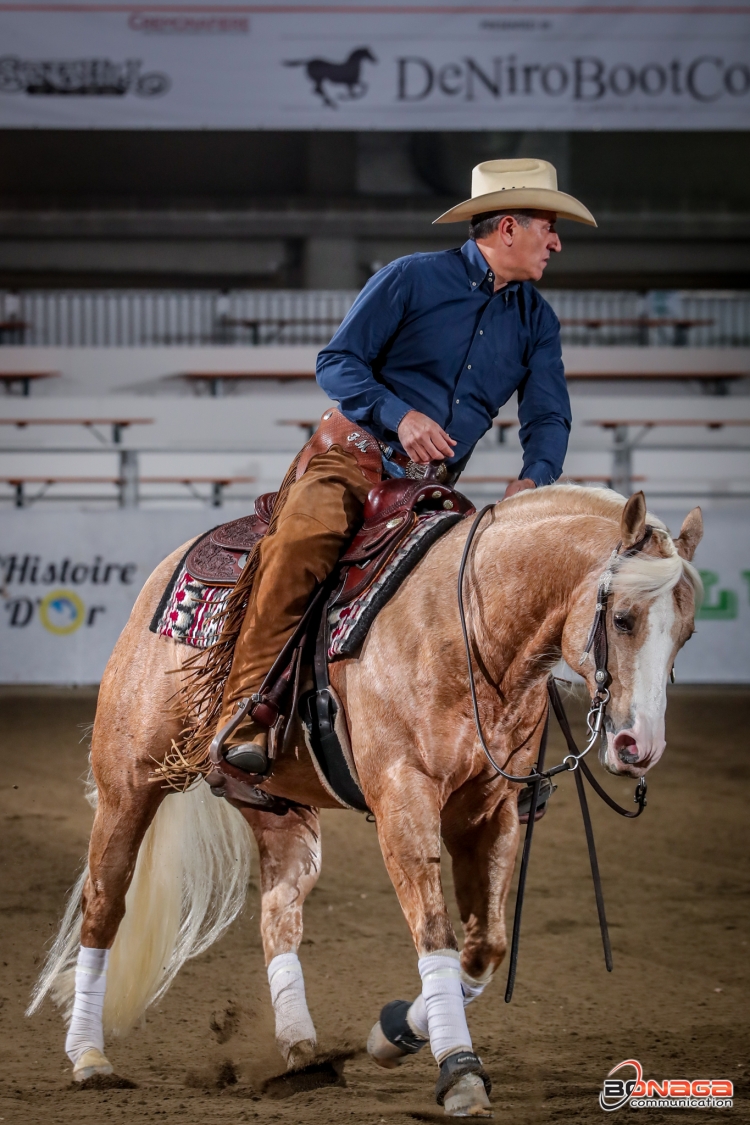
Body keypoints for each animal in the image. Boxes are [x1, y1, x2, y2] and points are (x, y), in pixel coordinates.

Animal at [24, 486, 706, 1116]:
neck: (466, 627)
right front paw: (459, 1072)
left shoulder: (491, 811)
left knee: (278, 915)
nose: (639, 746)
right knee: (103, 904)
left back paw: (301, 1052)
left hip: (278, 810)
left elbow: (484, 947)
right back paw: (88, 1057)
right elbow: (435, 933)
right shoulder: (405, 801)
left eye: (688, 632)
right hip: (128, 785)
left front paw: (395, 1031)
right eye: (623, 619)